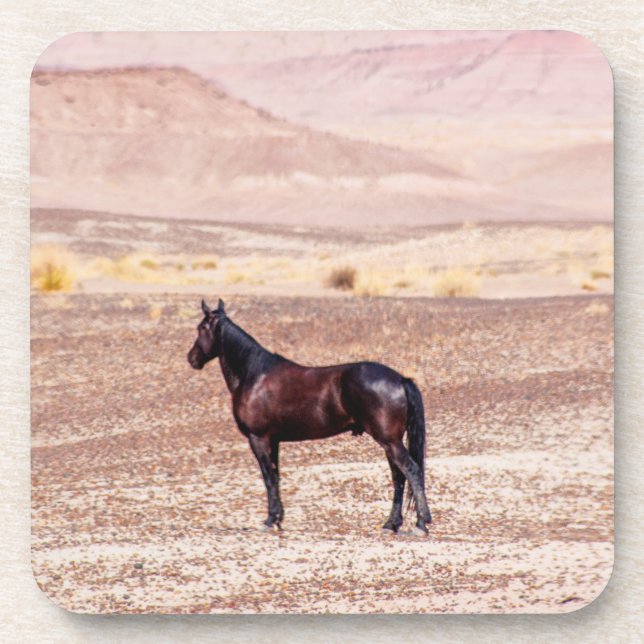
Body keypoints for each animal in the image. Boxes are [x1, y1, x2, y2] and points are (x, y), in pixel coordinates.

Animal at [187, 298, 432, 535]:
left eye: (201, 328)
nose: (192, 358)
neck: (254, 375)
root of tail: (400, 379)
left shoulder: (258, 438)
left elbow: (268, 478)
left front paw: (269, 521)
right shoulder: (273, 440)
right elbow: (276, 476)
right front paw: (278, 520)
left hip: (389, 441)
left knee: (410, 470)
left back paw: (420, 524)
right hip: (390, 442)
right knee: (399, 477)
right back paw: (391, 524)